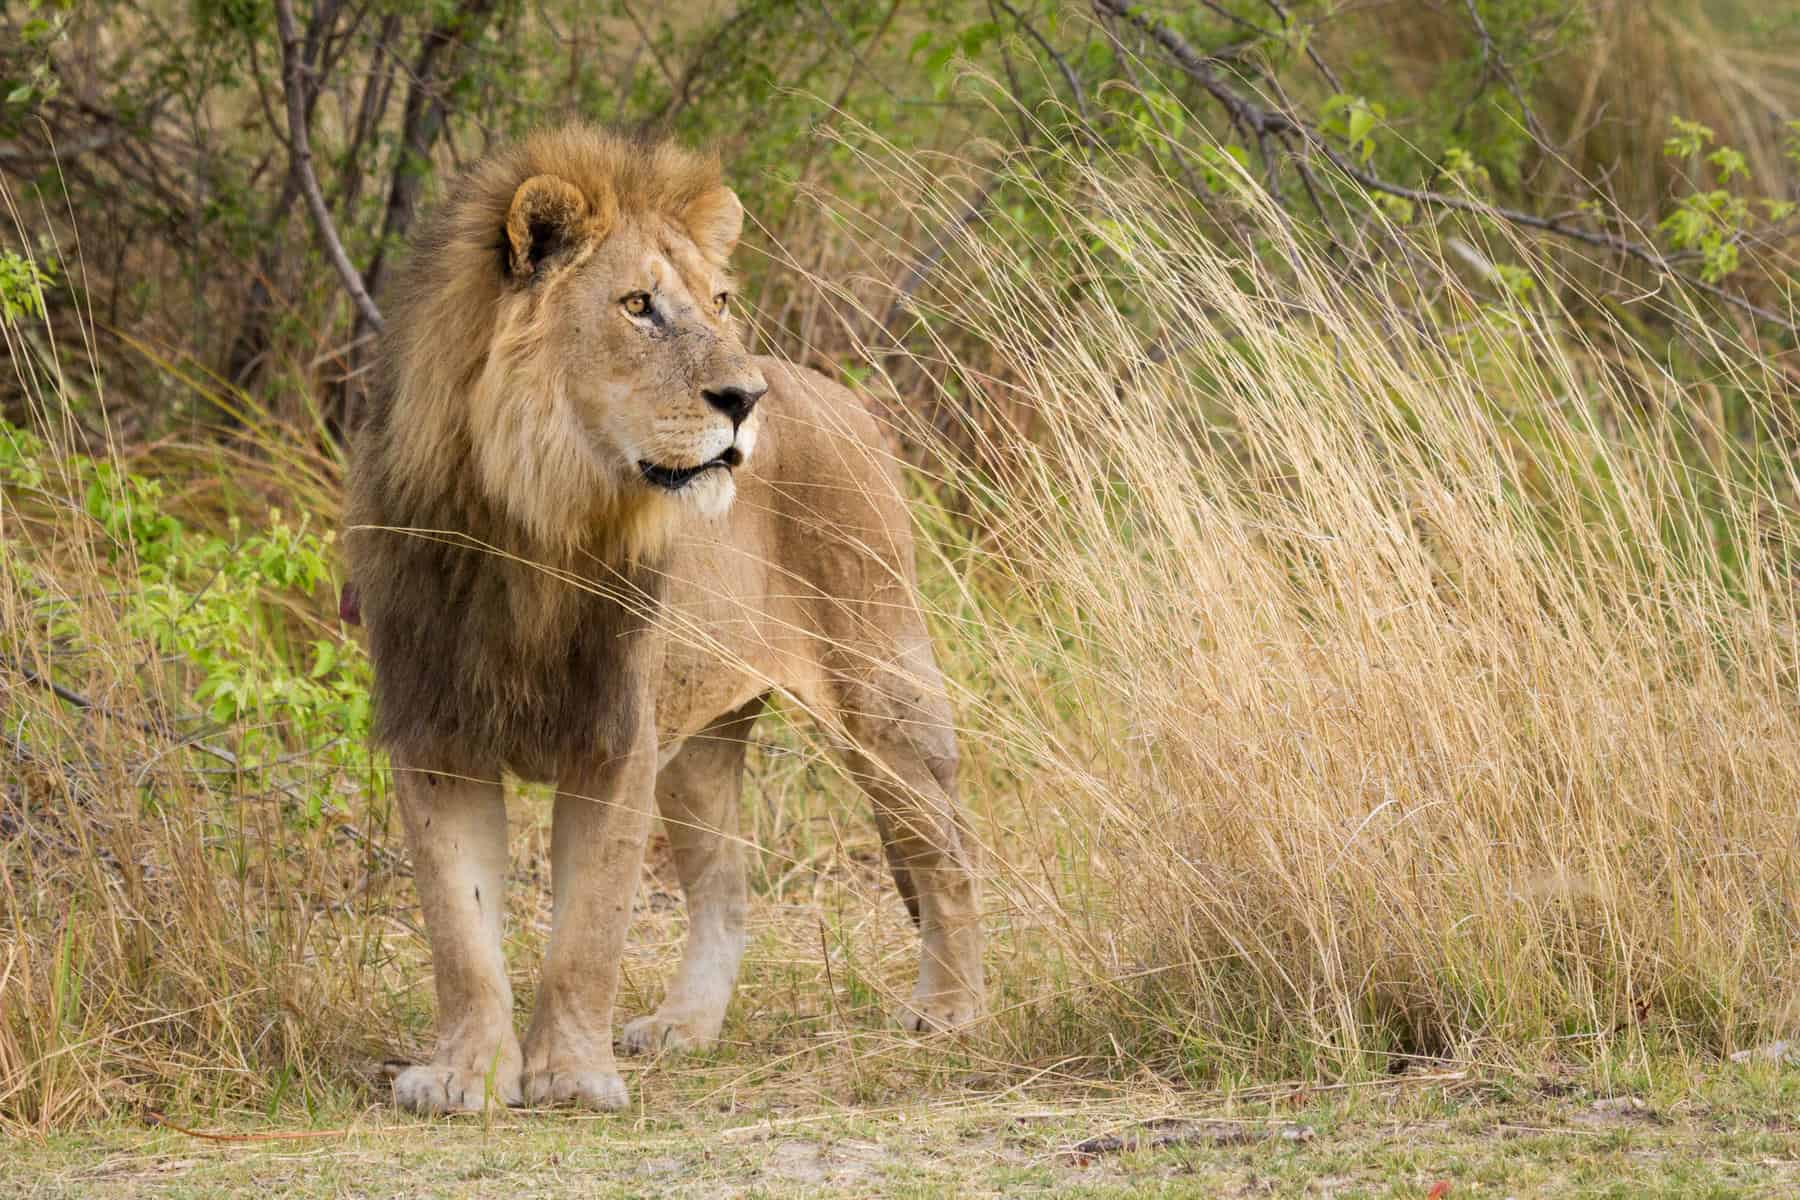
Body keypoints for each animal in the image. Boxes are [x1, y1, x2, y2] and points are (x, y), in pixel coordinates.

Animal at [344, 124, 984, 1114]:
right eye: (638, 304)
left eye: (719, 301)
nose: (745, 401)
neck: (532, 524)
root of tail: (850, 401)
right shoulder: (435, 731)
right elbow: (459, 931)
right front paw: (463, 1076)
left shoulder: (616, 737)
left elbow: (589, 931)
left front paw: (570, 1076)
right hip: (700, 740)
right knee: (727, 890)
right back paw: (688, 1026)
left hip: (881, 692)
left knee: (947, 847)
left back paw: (948, 1010)